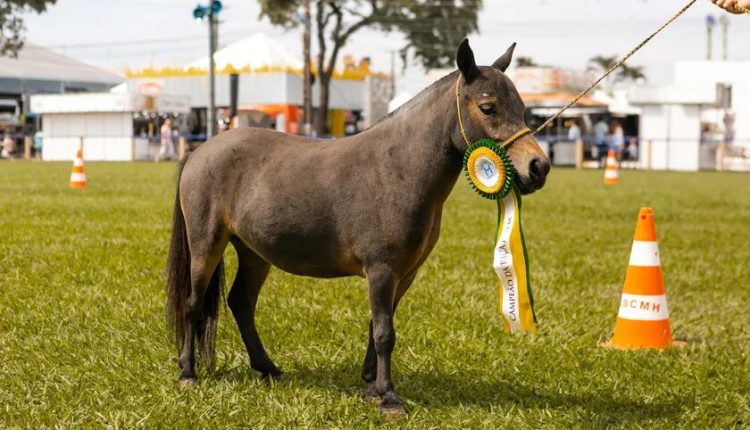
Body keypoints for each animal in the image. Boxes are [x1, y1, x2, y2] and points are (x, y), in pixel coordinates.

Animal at [166, 39, 552, 416]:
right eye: (488, 108)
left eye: (522, 107)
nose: (538, 167)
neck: (398, 167)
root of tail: (200, 151)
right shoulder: (381, 269)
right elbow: (384, 332)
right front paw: (389, 398)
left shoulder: (404, 273)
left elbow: (378, 325)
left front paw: (372, 385)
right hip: (206, 245)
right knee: (194, 303)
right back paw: (188, 373)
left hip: (254, 253)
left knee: (241, 303)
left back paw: (268, 368)